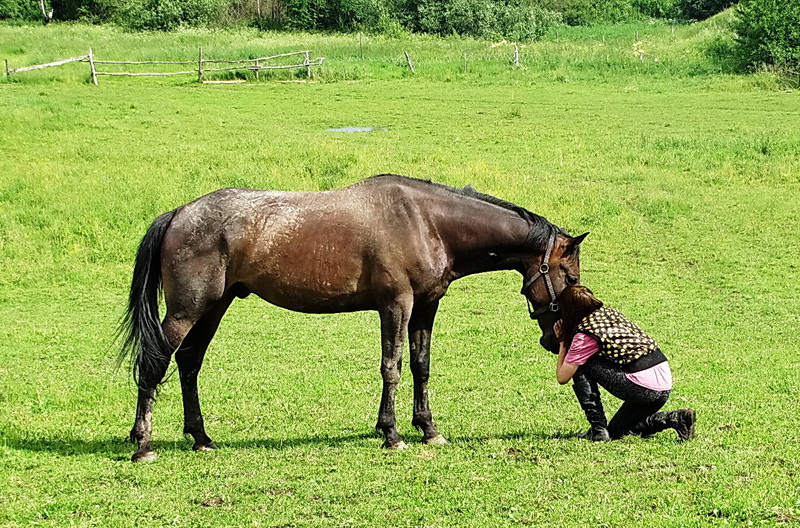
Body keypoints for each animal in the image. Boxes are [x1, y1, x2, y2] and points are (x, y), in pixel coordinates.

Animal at [122, 174, 588, 462]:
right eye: (568, 275)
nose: (554, 338)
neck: (427, 222)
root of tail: (179, 213)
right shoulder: (396, 305)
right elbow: (392, 367)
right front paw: (391, 433)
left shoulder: (425, 307)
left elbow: (420, 366)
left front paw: (428, 428)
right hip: (187, 310)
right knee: (155, 363)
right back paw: (143, 444)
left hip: (213, 308)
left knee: (189, 363)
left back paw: (201, 438)